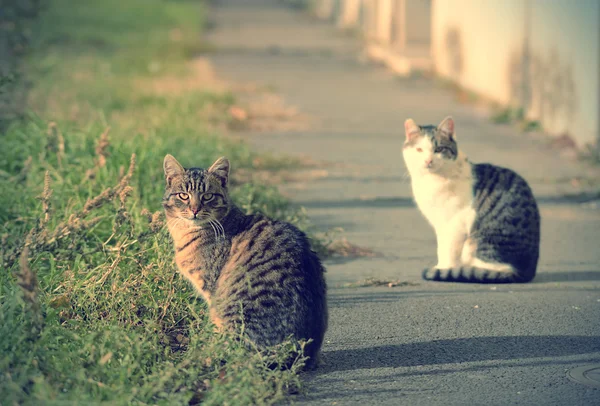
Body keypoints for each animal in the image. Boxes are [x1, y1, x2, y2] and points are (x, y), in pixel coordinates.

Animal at [163, 153, 328, 368]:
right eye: (183, 195)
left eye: (208, 196)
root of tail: (299, 354)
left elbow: (216, 330)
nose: (195, 209)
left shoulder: (212, 292)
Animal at [404, 117, 540, 282]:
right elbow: (441, 247)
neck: (432, 181)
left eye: (439, 149)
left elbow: (447, 250)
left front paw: (443, 269)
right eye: (419, 150)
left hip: (479, 243)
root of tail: (527, 272)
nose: (428, 161)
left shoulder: (454, 224)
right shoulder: (440, 224)